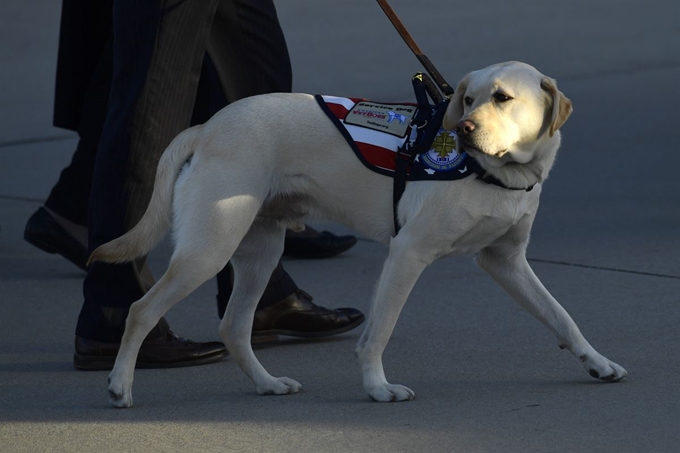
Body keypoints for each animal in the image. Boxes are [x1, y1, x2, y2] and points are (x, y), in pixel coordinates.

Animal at [93, 61, 628, 406]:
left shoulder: (506, 260)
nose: (464, 128)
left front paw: (597, 363)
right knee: (141, 310)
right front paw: (376, 388)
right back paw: (120, 386)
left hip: (260, 251)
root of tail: (205, 127)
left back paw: (268, 384)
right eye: (468, 100)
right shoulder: (407, 254)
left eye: (503, 98)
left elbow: (561, 317)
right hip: (209, 248)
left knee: (234, 326)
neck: (499, 175)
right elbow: (378, 332)